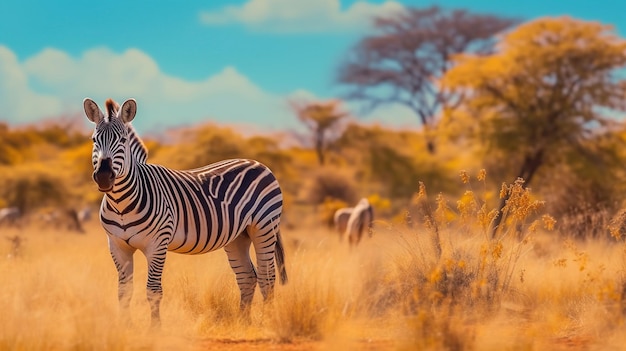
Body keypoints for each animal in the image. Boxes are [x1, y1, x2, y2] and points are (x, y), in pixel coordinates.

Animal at [83, 97, 288, 328]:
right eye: (94, 140)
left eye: (123, 140)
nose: (104, 176)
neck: (121, 204)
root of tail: (257, 163)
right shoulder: (117, 246)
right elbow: (124, 291)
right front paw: (125, 326)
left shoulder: (157, 244)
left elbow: (153, 291)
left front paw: (155, 328)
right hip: (238, 235)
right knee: (247, 277)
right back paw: (243, 322)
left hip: (264, 227)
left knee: (267, 277)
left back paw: (268, 321)